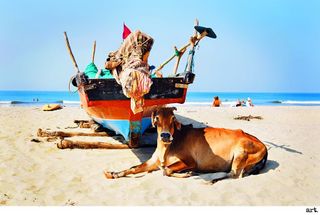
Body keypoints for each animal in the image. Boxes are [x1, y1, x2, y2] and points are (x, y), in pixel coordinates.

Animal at [104, 106, 268, 182]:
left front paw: (187, 173)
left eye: (172, 119)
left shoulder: (189, 161)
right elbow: (133, 168)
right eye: (157, 118)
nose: (165, 135)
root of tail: (264, 146)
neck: (165, 148)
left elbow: (166, 170)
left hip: (241, 152)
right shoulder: (152, 161)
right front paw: (114, 173)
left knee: (234, 174)